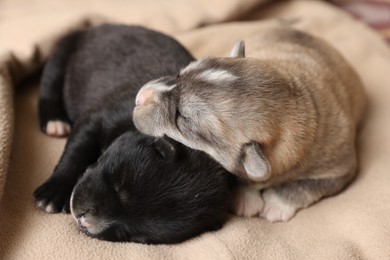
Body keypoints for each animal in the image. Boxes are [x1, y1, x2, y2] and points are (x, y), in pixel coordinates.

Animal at [33, 23, 233, 244]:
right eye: (117, 184)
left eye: (134, 236)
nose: (83, 220)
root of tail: (102, 26)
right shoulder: (98, 118)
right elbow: (76, 152)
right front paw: (53, 192)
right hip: (62, 54)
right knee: (49, 86)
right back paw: (55, 122)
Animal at [133, 25, 366, 222]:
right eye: (179, 74)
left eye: (181, 117)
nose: (140, 98)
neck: (302, 103)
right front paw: (245, 200)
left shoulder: (340, 170)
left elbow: (307, 186)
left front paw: (276, 205)